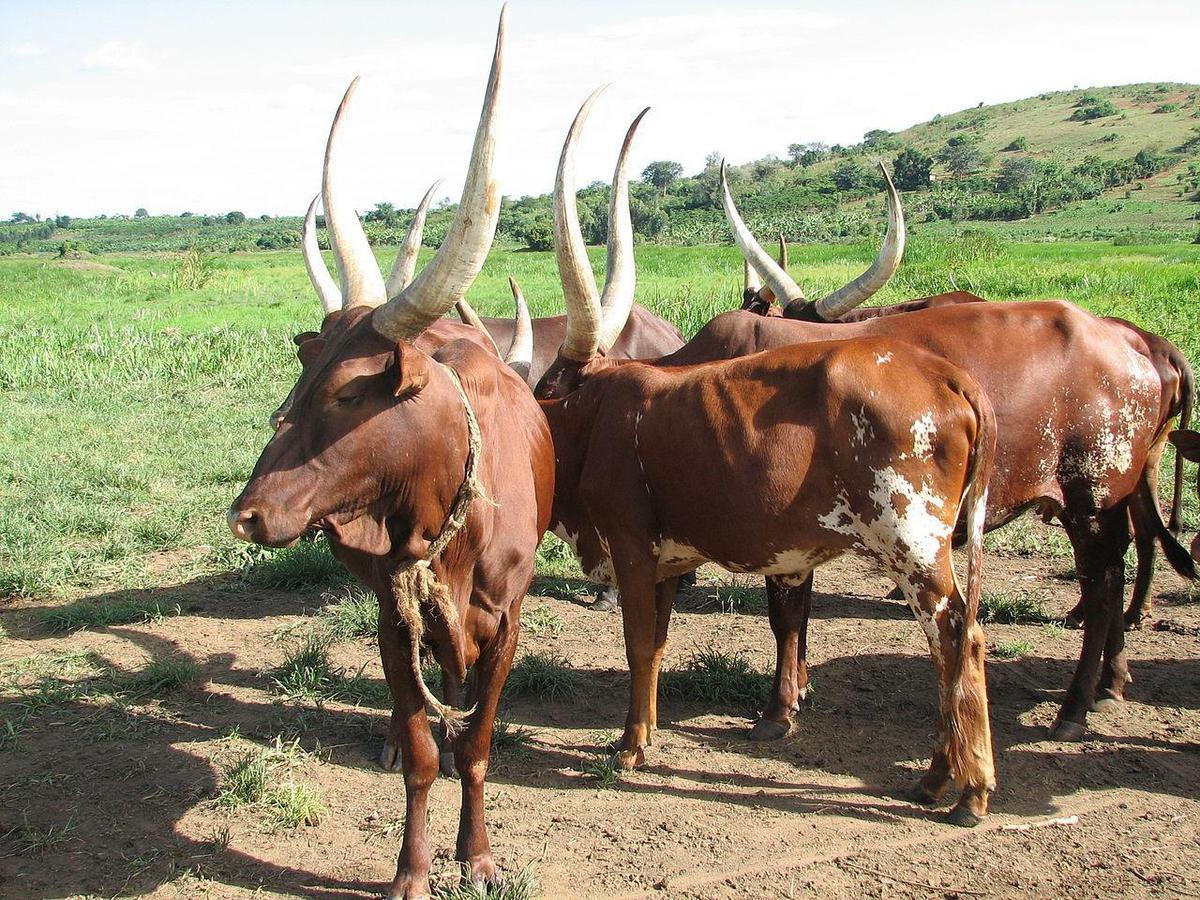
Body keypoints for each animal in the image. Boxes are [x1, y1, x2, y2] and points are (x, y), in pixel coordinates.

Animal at [226, 14, 554, 897]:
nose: (247, 515)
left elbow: (476, 746)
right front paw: (412, 869)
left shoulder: (505, 626)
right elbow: (420, 753)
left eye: (347, 393)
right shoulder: (390, 618)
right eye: (303, 376)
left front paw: (476, 854)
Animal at [532, 95, 993, 830]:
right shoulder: (671, 561)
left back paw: (966, 791)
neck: (600, 409)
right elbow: (656, 645)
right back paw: (936, 780)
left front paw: (628, 748)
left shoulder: (631, 547)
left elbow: (636, 643)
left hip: (914, 543)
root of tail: (945, 376)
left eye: (546, 391)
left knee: (956, 637)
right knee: (956, 640)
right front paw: (648, 732)